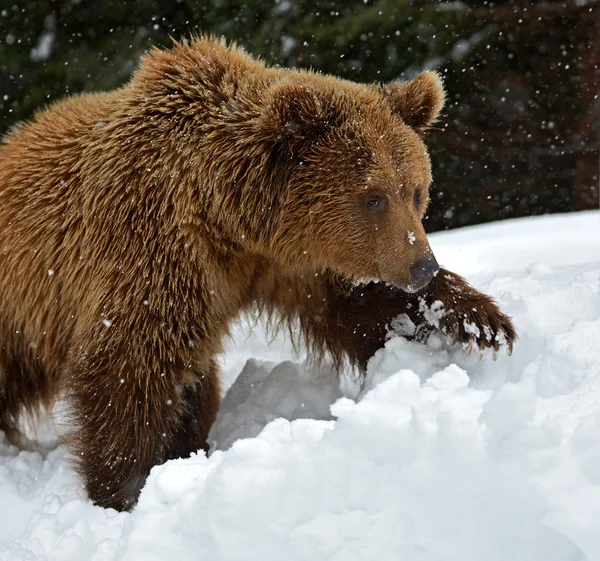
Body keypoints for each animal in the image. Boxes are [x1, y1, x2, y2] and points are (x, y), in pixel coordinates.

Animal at [1, 34, 516, 508]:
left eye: (415, 190)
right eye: (372, 197)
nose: (422, 265)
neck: (229, 221)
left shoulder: (291, 263)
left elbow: (359, 307)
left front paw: (476, 321)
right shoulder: (155, 246)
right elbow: (128, 364)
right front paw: (125, 490)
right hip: (18, 315)